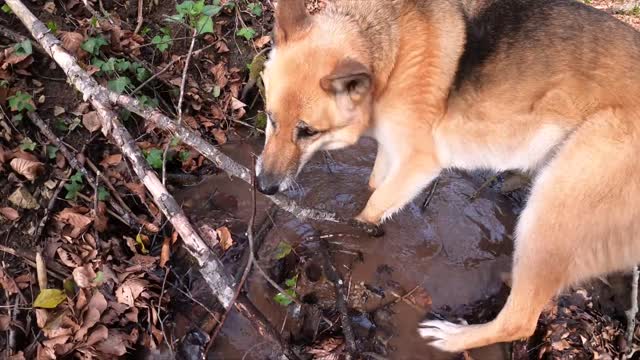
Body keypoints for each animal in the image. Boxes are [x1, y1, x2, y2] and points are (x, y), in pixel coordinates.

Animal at [252, 0, 640, 352]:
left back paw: (454, 338)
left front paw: (355, 232)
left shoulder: (419, 163)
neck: (391, 56)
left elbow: (374, 204)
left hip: (550, 210)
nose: (264, 187)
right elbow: (374, 184)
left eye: (308, 132)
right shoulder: (390, 149)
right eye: (270, 118)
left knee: (520, 321)